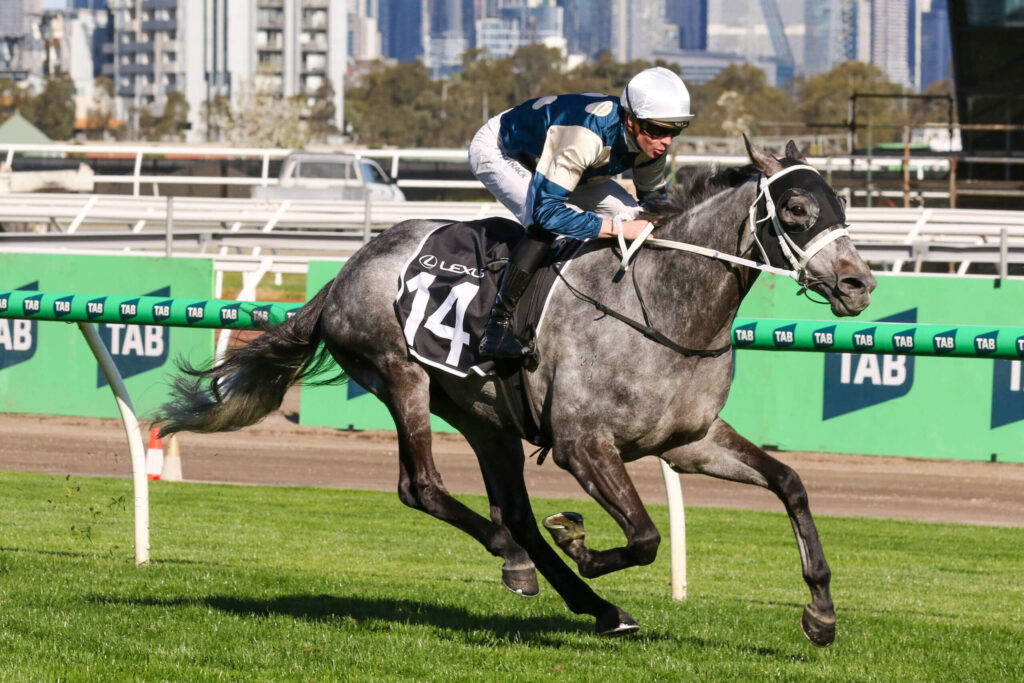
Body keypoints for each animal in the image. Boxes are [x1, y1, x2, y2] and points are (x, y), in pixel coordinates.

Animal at [156, 137, 876, 644]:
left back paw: (588, 601)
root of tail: (346, 271)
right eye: (798, 210)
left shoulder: (691, 441)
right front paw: (580, 541)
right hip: (402, 376)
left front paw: (820, 612)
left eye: (843, 207)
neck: (662, 307)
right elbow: (644, 535)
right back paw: (525, 563)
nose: (860, 283)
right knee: (424, 488)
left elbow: (790, 484)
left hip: (486, 418)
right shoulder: (583, 445)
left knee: (514, 513)